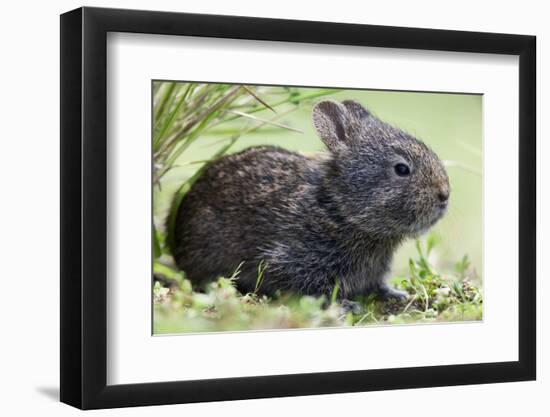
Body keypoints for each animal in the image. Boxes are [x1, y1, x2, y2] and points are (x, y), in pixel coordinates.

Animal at [174, 98, 452, 306]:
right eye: (402, 169)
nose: (445, 194)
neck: (338, 209)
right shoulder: (294, 261)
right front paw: (345, 306)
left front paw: (396, 294)